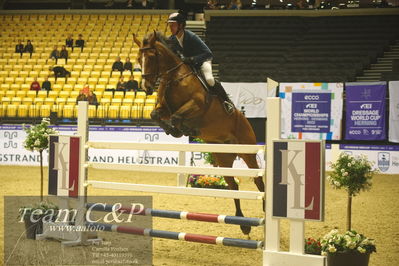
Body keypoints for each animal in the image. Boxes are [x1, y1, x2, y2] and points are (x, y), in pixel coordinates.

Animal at [135, 31, 266, 235]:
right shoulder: (164, 109)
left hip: (247, 152)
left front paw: (183, 130)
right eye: (137, 59)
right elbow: (156, 115)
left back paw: (265, 210)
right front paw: (175, 131)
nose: (145, 87)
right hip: (223, 158)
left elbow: (177, 117)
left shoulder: (195, 104)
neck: (174, 77)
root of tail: (243, 118)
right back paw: (243, 224)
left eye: (151, 57)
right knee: (233, 185)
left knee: (258, 181)